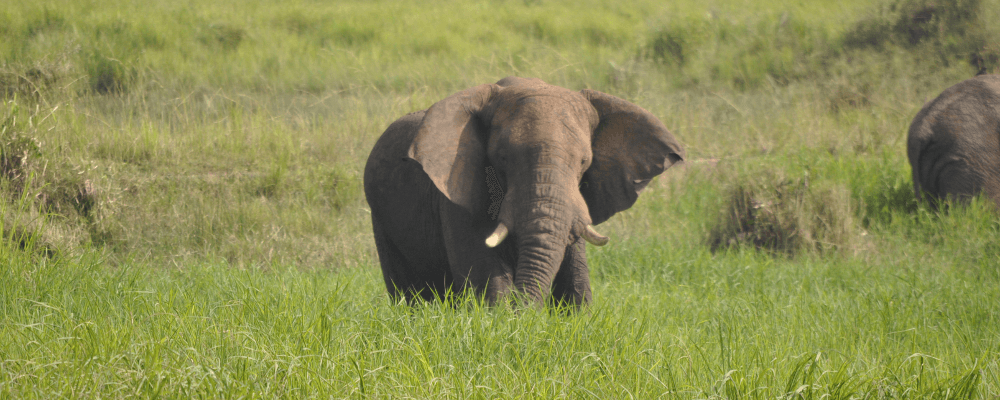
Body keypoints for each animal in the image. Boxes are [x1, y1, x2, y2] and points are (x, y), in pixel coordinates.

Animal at [363, 76, 684, 307]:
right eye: (503, 158)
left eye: (584, 162)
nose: (525, 306)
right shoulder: (456, 191)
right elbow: (486, 276)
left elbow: (576, 277)